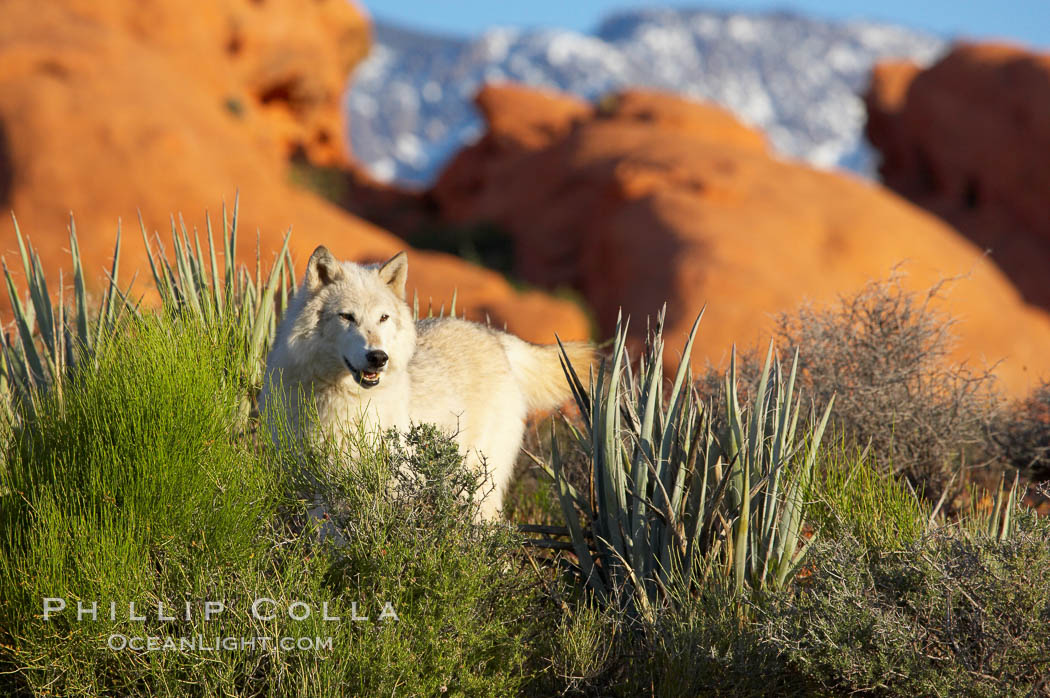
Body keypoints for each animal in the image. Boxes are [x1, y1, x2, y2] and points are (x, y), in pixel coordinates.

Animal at [259, 244, 596, 516]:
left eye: (383, 318)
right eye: (347, 317)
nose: (378, 357)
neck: (338, 400)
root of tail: (496, 337)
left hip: (477, 490)